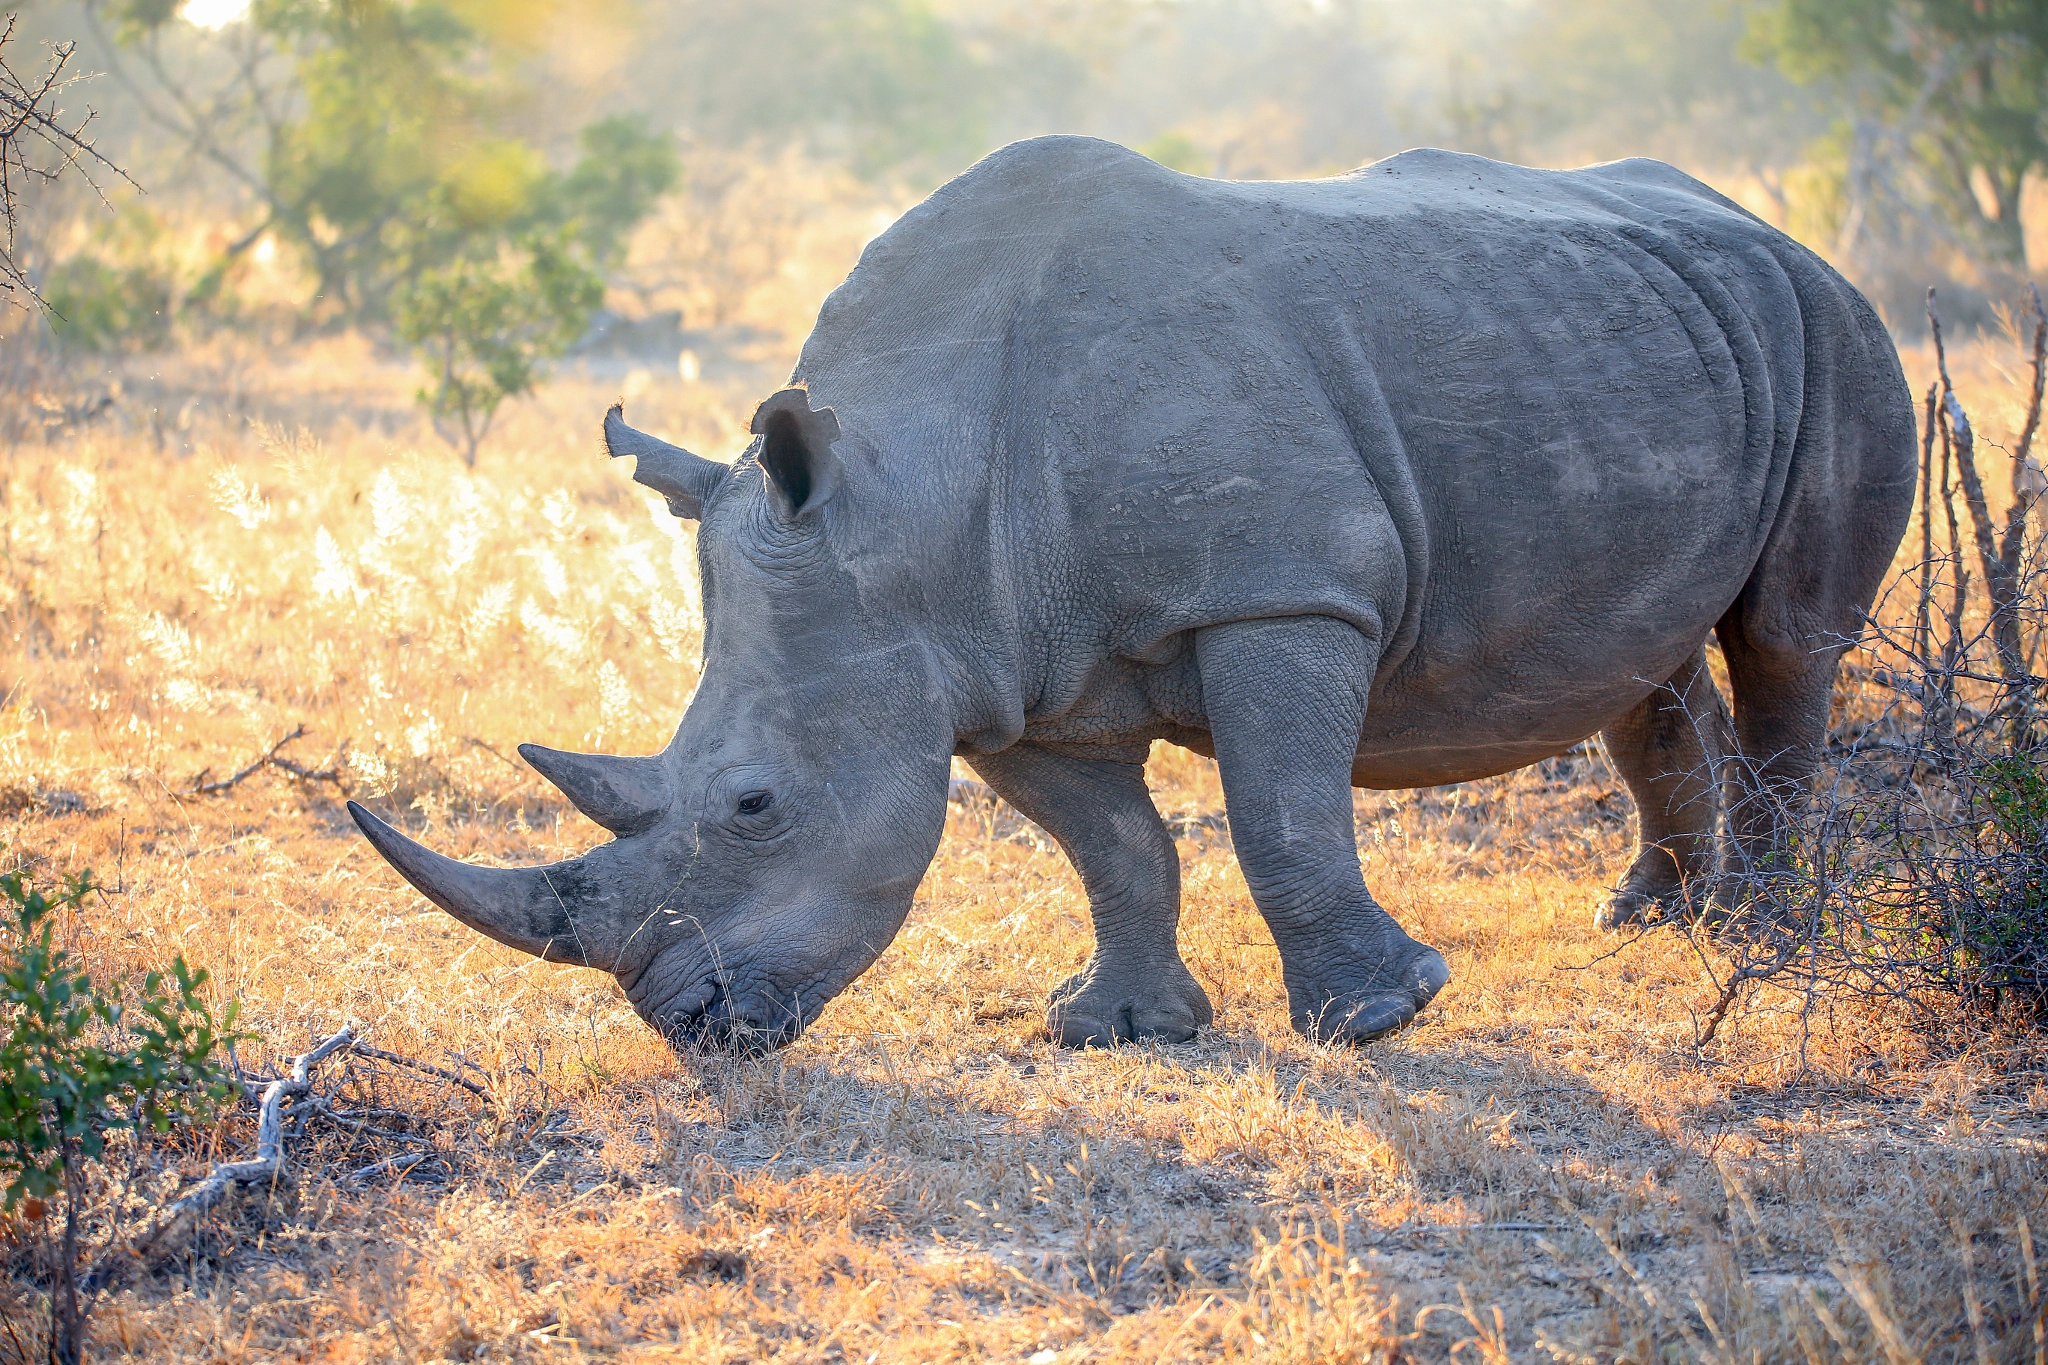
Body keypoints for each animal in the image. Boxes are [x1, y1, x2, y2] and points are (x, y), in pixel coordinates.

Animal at [349, 137, 1914, 1050]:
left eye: (753, 805)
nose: (687, 1023)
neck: (909, 497)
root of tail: (1769, 226)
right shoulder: (998, 669)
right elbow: (1116, 848)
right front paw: (1113, 1029)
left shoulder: (1283, 591)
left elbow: (1278, 813)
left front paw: (1377, 1018)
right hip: (1646, 332)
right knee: (1643, 653)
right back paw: (1649, 920)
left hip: (1836, 324)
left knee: (1786, 641)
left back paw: (1762, 944)